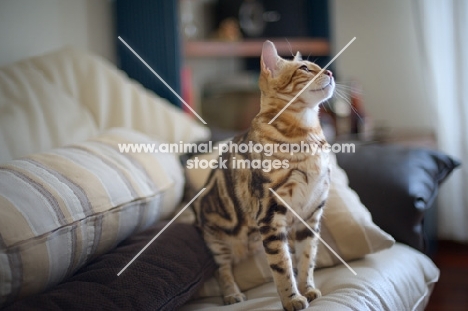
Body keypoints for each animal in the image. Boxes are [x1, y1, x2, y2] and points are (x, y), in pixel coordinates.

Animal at [192, 41, 334, 311]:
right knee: (222, 269)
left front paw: (307, 288)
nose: (330, 72)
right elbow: (282, 266)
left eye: (319, 66)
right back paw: (232, 294)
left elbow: (307, 258)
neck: (305, 134)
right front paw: (291, 299)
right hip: (217, 241)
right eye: (304, 68)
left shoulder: (310, 215)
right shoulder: (270, 212)